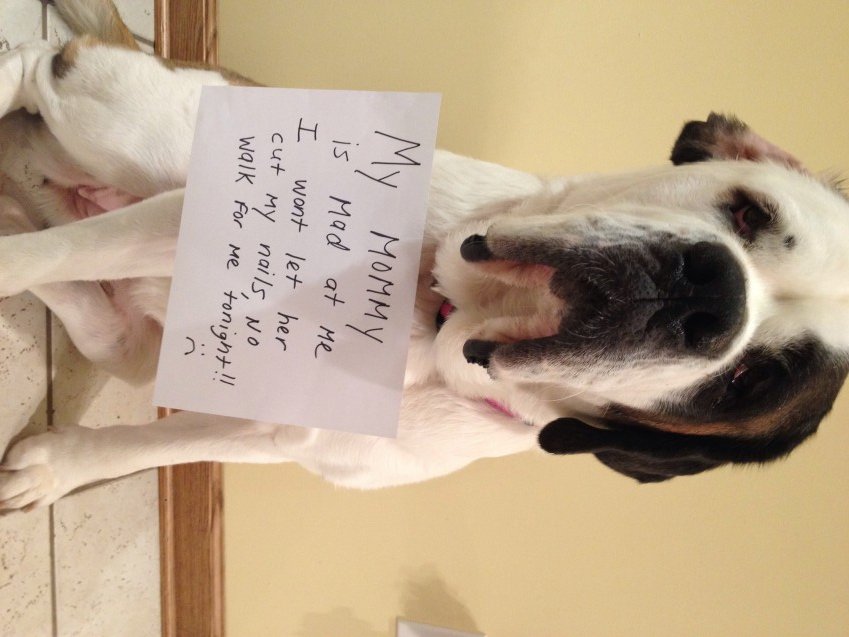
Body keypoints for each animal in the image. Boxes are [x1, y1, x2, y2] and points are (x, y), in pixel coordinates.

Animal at [1, 0, 848, 510]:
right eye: (748, 211)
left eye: (745, 382)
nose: (710, 295)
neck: (433, 321)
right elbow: (56, 256)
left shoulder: (274, 429)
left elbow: (155, 442)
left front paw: (57, 467)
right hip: (130, 133)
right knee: (38, 64)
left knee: (100, 310)